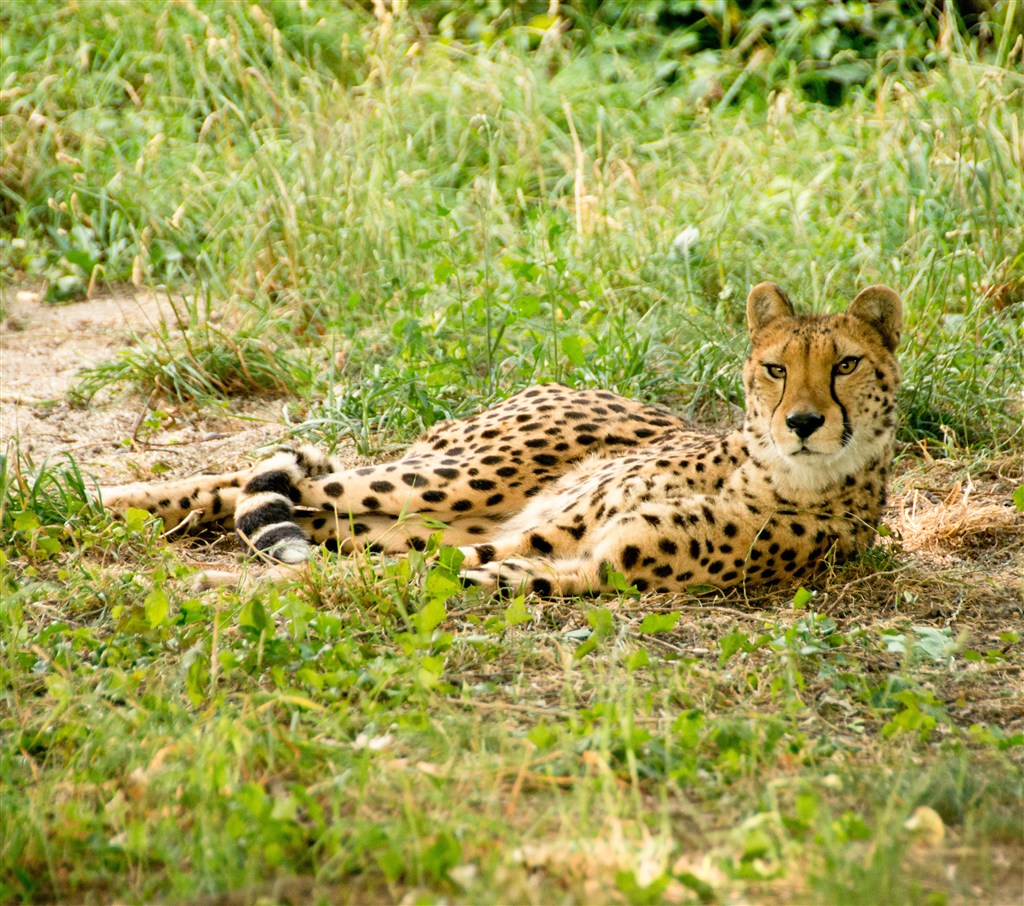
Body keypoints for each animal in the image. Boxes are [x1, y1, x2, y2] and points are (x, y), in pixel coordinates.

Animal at [99, 280, 901, 593]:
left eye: (846, 364)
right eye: (776, 368)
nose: (803, 422)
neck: (774, 473)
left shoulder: (583, 560)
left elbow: (424, 575)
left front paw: (233, 586)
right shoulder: (560, 531)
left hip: (419, 512)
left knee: (299, 506)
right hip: (459, 477)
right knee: (264, 479)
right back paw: (106, 497)